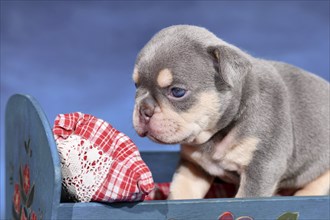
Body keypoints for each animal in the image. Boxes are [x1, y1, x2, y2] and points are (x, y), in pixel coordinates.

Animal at [132, 24, 330, 199]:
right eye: (136, 85)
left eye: (177, 91)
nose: (144, 109)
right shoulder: (193, 167)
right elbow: (181, 192)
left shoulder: (261, 167)